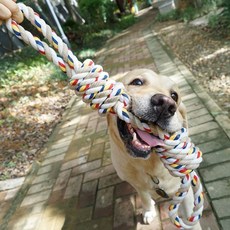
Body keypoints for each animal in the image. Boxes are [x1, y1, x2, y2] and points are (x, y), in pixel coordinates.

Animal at [107, 69, 200, 229]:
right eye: (137, 82)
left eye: (174, 96)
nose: (166, 104)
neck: (148, 165)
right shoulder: (137, 184)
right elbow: (144, 197)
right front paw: (149, 211)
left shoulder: (184, 192)